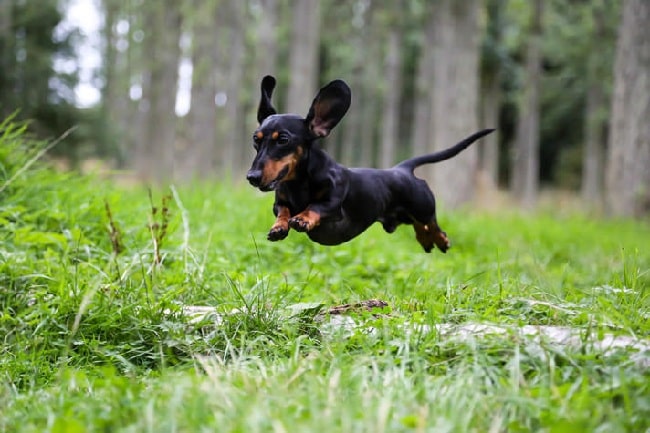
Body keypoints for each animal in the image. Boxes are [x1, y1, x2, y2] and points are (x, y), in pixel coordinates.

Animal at [246, 77, 494, 253]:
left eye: (283, 140)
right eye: (255, 140)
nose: (252, 177)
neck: (298, 183)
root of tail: (402, 169)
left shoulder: (334, 203)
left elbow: (316, 206)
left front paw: (303, 218)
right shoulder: (280, 202)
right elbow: (283, 210)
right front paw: (279, 226)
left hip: (422, 205)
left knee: (431, 222)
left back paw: (441, 240)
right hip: (406, 215)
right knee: (420, 226)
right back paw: (426, 240)